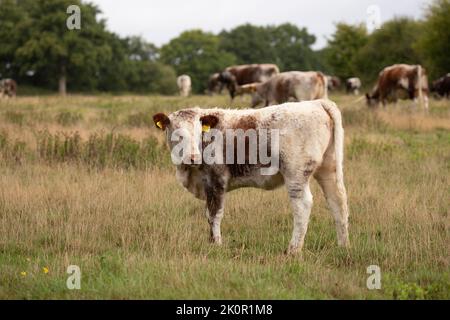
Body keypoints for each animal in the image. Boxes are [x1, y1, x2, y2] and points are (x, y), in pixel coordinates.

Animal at [153, 99, 350, 254]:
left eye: (198, 133)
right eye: (177, 134)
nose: (193, 157)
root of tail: (317, 102)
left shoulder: (216, 180)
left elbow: (214, 214)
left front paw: (216, 244)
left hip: (296, 174)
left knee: (303, 206)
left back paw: (293, 250)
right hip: (328, 168)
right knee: (337, 201)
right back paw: (342, 246)